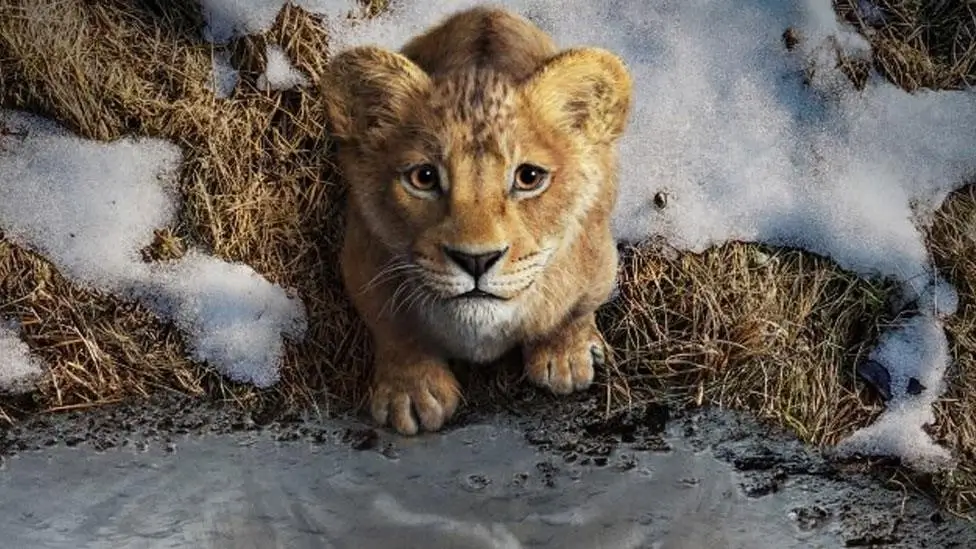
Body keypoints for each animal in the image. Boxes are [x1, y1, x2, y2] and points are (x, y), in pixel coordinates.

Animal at [324, 6, 633, 435]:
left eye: (529, 177)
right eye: (424, 177)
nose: (476, 260)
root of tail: (487, 10)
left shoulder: (599, 258)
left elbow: (575, 310)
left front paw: (565, 357)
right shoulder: (362, 258)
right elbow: (394, 328)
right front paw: (411, 393)